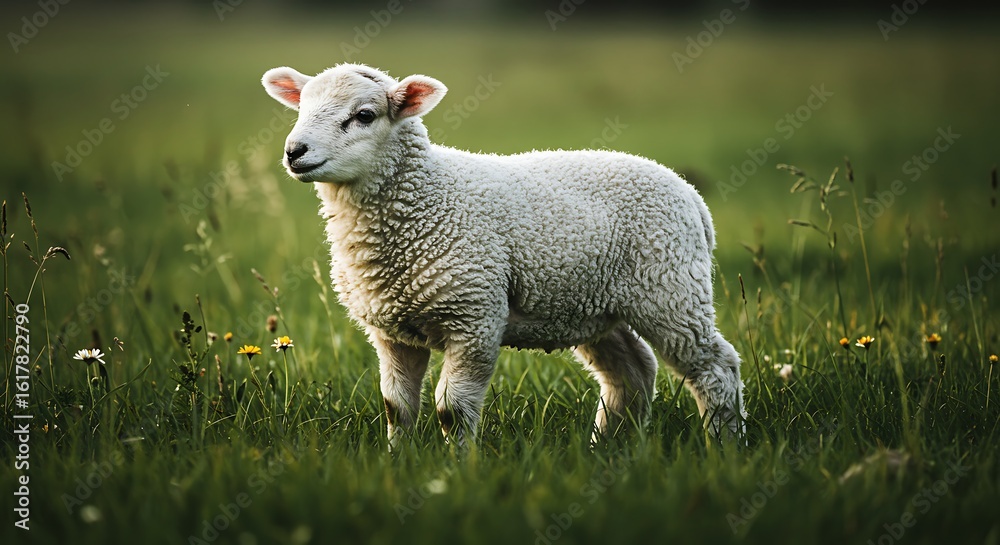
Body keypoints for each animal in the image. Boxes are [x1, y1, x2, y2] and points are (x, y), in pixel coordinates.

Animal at [261, 63, 745, 449]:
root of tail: (692, 196)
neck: (428, 199)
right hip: (594, 303)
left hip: (669, 289)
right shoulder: (393, 332)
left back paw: (724, 446)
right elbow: (396, 407)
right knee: (631, 371)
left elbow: (452, 410)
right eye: (301, 109)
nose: (294, 151)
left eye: (364, 115)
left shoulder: (474, 317)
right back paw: (609, 447)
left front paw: (457, 469)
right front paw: (397, 461)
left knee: (716, 368)